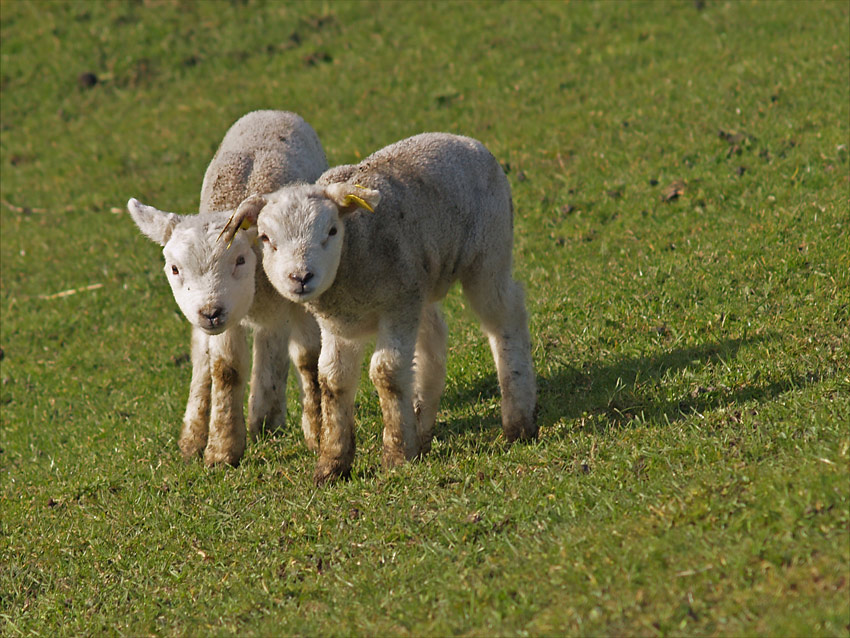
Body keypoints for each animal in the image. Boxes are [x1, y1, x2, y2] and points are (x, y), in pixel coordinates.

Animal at [127, 110, 326, 468]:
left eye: (240, 259)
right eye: (174, 268)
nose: (211, 311)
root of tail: (270, 112)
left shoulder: (301, 295)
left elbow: (308, 359)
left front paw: (317, 434)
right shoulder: (226, 321)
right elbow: (226, 369)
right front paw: (221, 450)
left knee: (273, 342)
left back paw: (266, 418)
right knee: (205, 358)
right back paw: (196, 434)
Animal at [222, 135, 532, 484]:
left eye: (332, 231)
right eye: (265, 238)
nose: (301, 277)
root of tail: (466, 141)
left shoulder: (397, 306)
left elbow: (386, 371)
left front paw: (397, 454)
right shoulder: (339, 323)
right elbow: (332, 379)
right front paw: (332, 464)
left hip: (488, 255)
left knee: (505, 317)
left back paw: (519, 421)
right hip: (421, 283)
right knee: (434, 340)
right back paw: (422, 427)